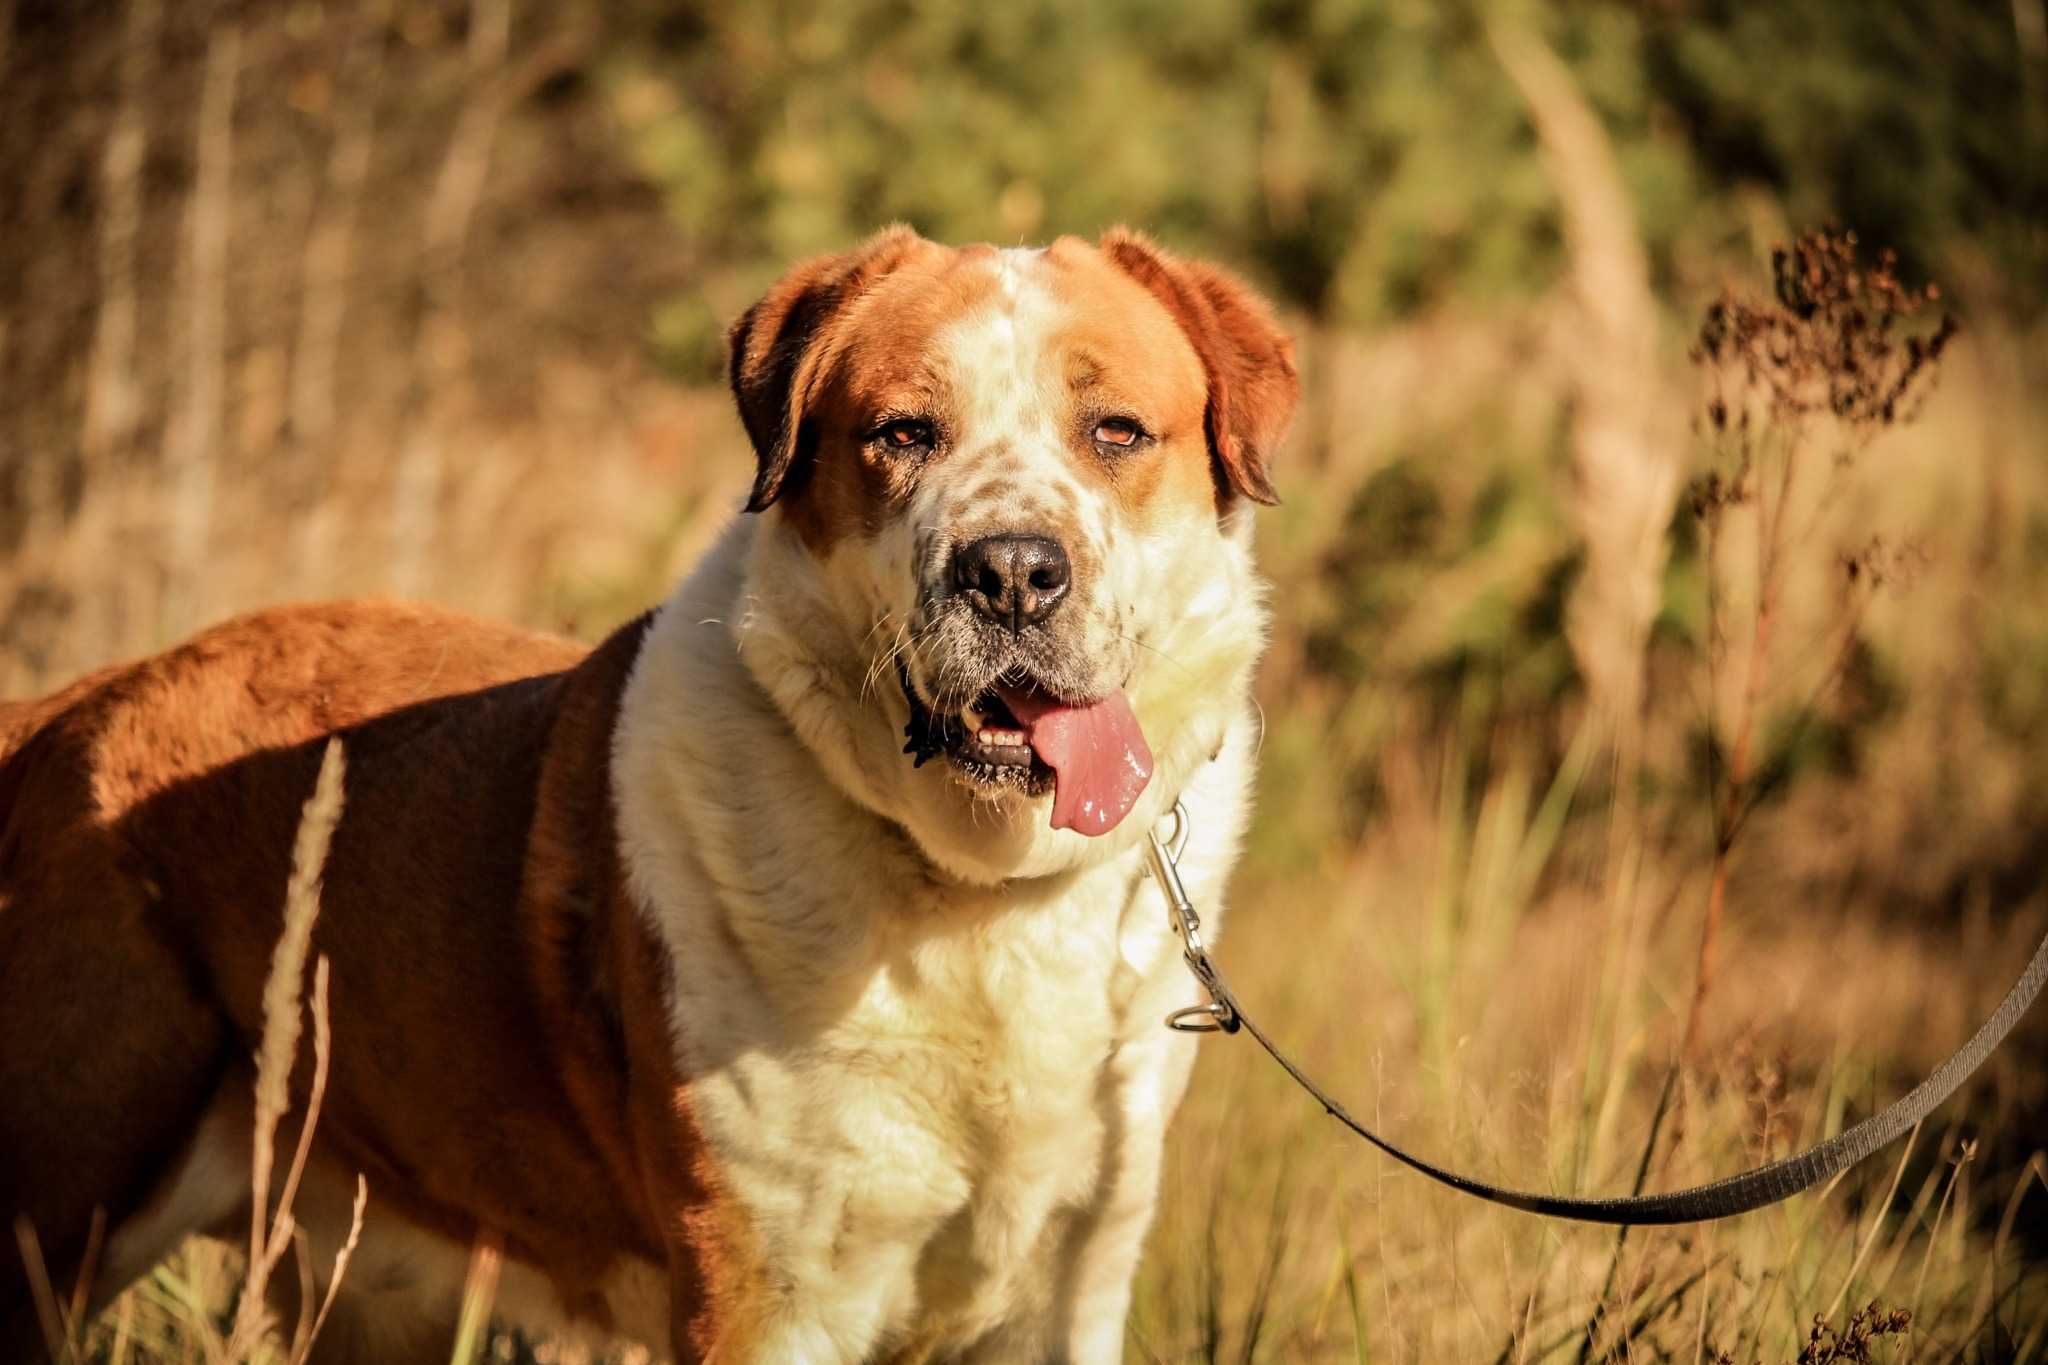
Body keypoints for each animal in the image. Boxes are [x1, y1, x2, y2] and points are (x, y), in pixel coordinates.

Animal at [0, 229, 1302, 1358]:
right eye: (902, 433)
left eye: (1116, 431)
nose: (1014, 571)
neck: (976, 898)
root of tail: (68, 708)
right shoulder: (761, 1296)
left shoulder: (1063, 1291)